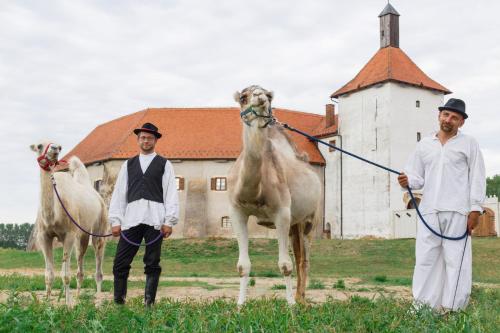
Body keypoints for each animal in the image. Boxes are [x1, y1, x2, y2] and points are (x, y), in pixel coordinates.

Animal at [30, 141, 108, 302]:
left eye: (60, 147)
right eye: (39, 145)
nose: (54, 148)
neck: (53, 215)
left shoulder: (69, 234)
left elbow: (65, 275)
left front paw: (68, 303)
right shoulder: (43, 236)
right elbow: (49, 274)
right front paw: (47, 301)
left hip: (100, 226)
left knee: (98, 260)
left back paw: (97, 299)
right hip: (82, 234)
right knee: (80, 260)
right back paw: (78, 297)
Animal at [229, 84, 322, 304]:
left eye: (269, 95)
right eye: (243, 97)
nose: (260, 97)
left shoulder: (282, 213)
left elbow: (285, 265)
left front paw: (290, 307)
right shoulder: (237, 211)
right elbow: (242, 266)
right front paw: (240, 305)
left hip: (311, 218)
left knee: (304, 259)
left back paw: (302, 301)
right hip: (295, 224)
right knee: (299, 255)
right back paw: (298, 297)